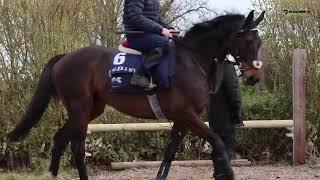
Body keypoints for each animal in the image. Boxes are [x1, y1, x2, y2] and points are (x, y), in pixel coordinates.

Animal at [8, 11, 264, 180]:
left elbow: (169, 153)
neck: (192, 59)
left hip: (91, 109)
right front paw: (228, 173)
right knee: (77, 148)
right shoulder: (188, 115)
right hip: (79, 108)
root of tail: (65, 57)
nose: (254, 76)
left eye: (259, 41)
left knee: (61, 138)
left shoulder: (182, 119)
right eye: (247, 40)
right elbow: (217, 141)